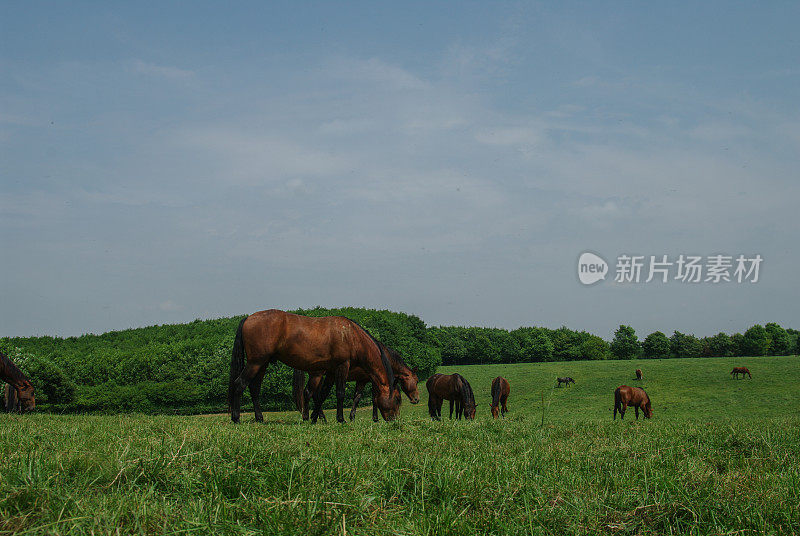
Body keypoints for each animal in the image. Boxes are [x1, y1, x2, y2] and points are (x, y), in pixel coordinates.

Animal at [227, 310, 404, 422]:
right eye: (397, 398)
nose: (394, 420)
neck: (351, 335)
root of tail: (248, 318)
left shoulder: (330, 372)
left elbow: (322, 394)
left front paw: (313, 418)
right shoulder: (342, 366)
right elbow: (340, 393)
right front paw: (341, 419)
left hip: (261, 364)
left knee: (254, 388)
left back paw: (260, 418)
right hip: (255, 362)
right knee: (239, 384)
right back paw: (236, 418)